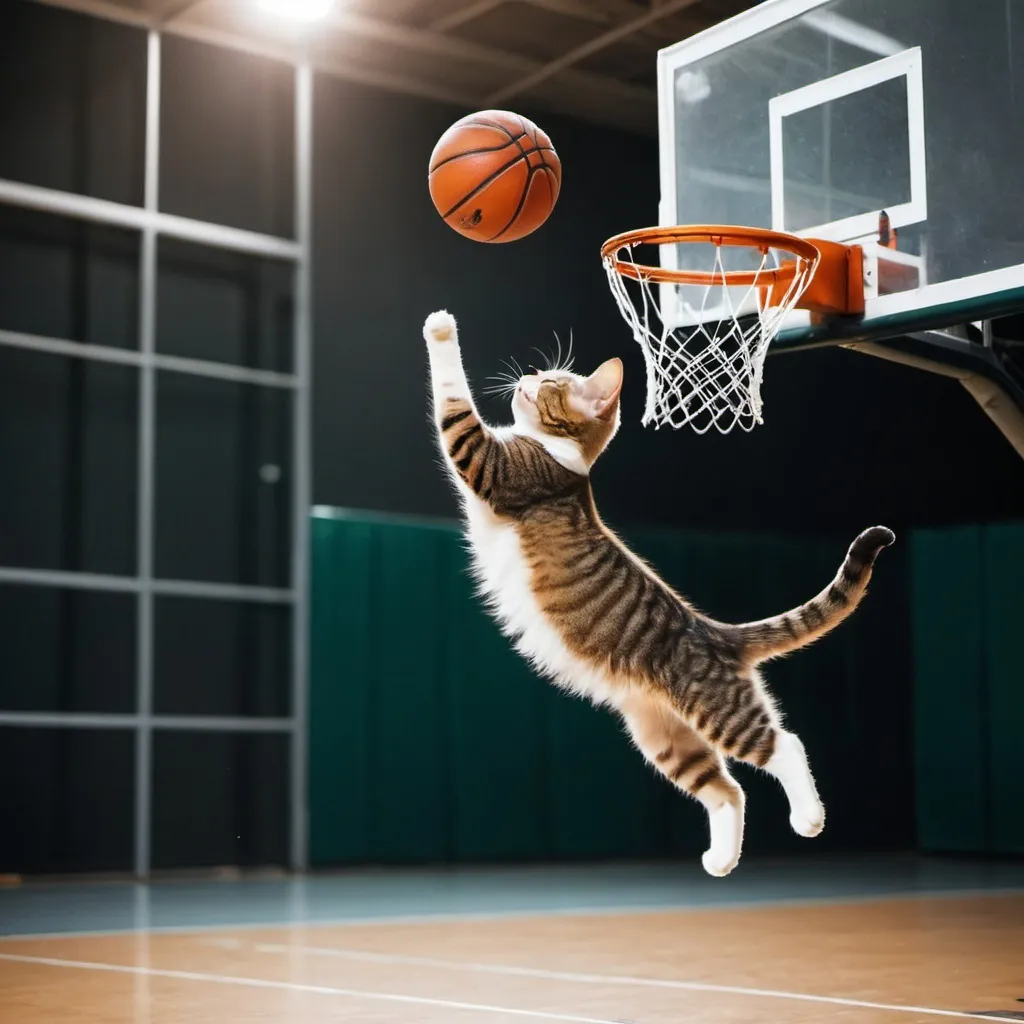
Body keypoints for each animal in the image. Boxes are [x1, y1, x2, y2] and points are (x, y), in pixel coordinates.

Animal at [419, 307, 892, 876]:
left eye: (550, 382)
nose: (528, 375)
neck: (564, 456)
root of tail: (718, 633)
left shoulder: (486, 460)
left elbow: (453, 398)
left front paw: (440, 327)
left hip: (721, 712)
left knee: (785, 747)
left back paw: (809, 817)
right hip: (665, 739)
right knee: (727, 791)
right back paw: (721, 859)